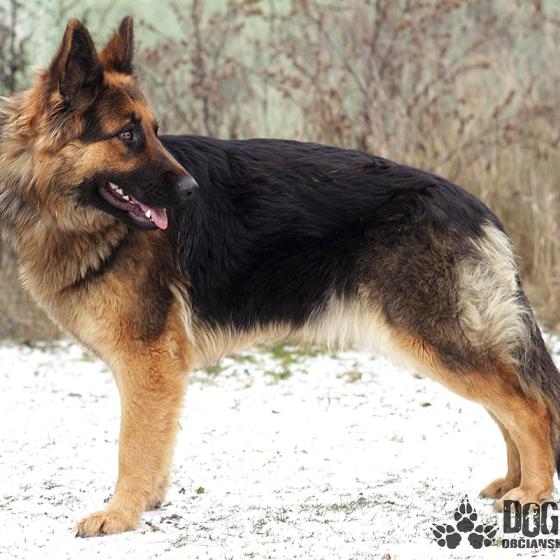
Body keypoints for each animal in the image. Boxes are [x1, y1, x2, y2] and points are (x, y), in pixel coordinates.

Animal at [1, 16, 559, 537]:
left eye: (153, 131)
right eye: (126, 135)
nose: (191, 191)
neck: (66, 212)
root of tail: (473, 206)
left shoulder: (147, 359)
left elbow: (132, 444)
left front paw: (119, 514)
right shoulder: (147, 366)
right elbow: (153, 440)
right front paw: (148, 501)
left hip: (435, 340)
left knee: (529, 407)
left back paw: (532, 493)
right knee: (508, 406)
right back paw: (513, 482)